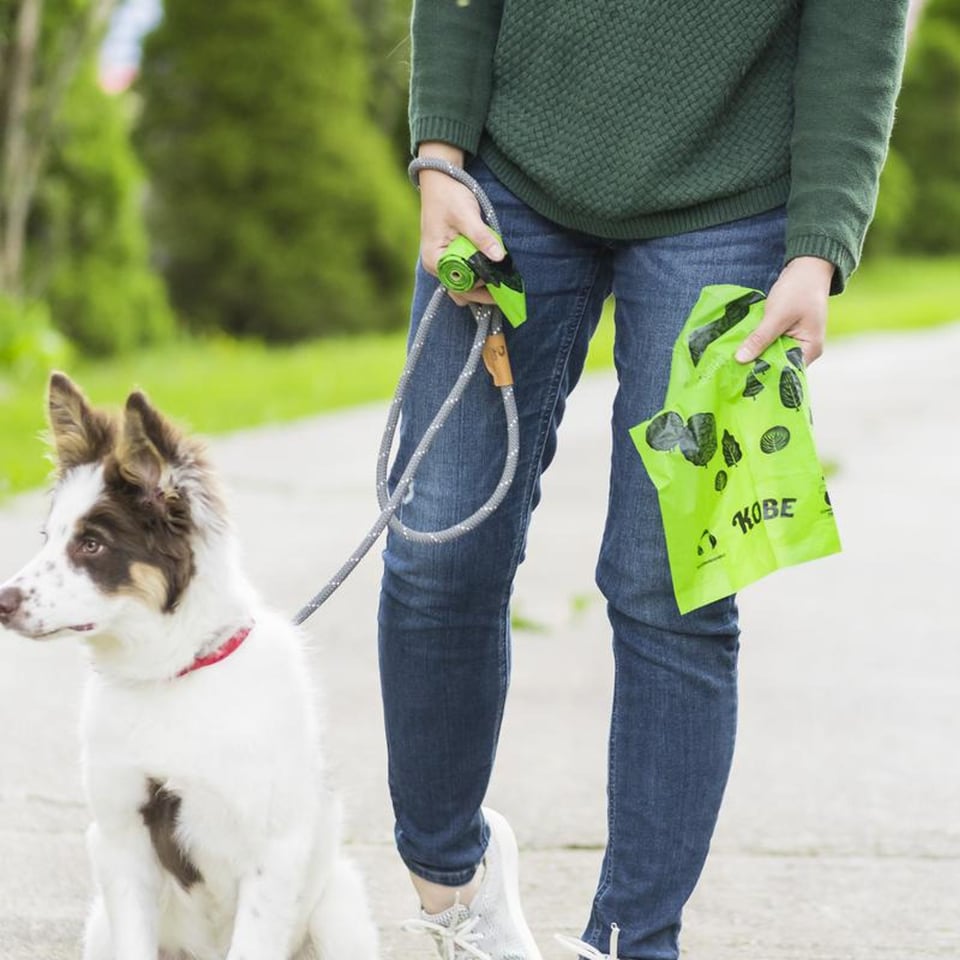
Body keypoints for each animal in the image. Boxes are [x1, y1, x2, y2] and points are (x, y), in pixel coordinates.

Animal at [0, 376, 380, 960]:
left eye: (92, 544)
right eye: (49, 538)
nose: (1, 602)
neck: (173, 675)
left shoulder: (272, 853)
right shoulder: (120, 838)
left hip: (340, 911)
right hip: (99, 926)